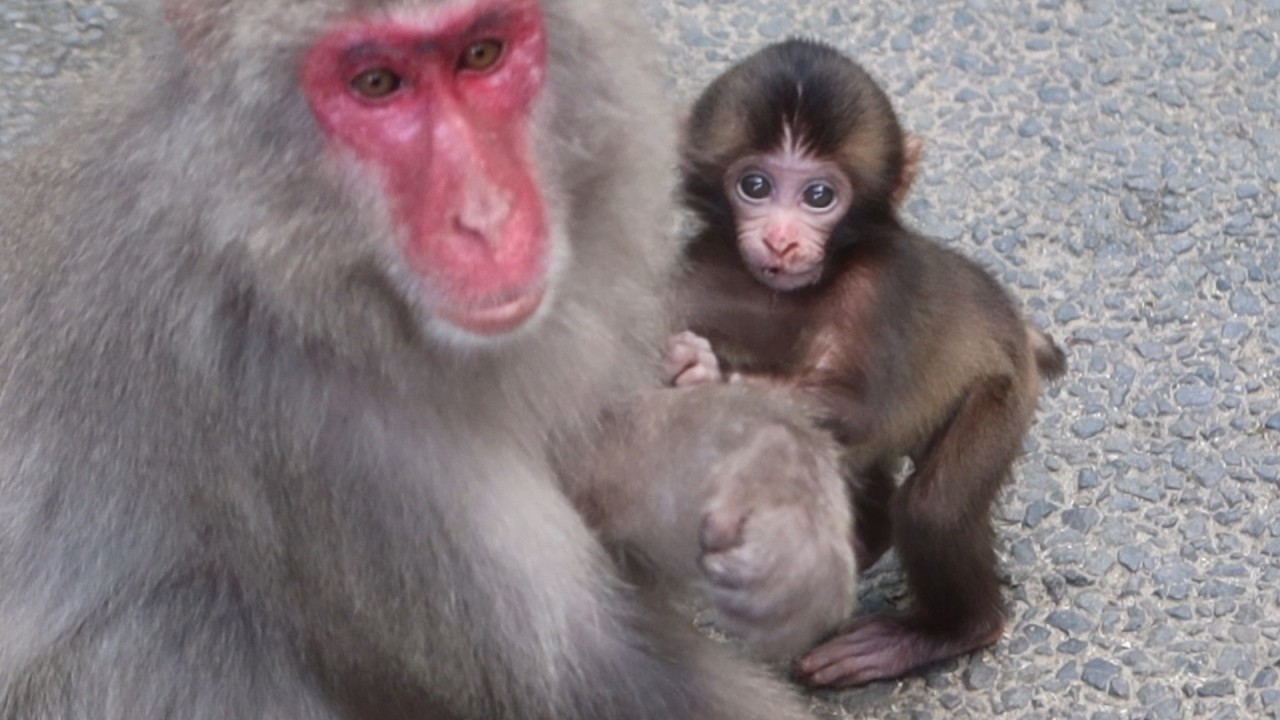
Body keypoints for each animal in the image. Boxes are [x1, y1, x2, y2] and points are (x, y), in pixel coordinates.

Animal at [0, 4, 859, 718]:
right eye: (376, 83)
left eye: (481, 53)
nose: (486, 216)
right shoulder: (300, 423)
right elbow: (586, 674)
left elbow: (585, 463)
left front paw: (768, 476)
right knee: (172, 634)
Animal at [668, 38, 1067, 688]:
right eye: (754, 185)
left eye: (819, 196)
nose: (780, 240)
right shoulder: (701, 265)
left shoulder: (879, 284)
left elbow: (858, 407)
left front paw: (704, 377)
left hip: (1005, 396)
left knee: (933, 508)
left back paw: (944, 631)